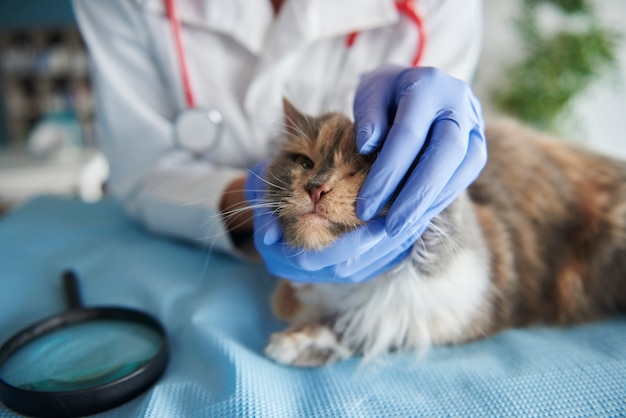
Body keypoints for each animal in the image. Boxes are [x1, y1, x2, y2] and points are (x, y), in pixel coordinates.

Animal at [255, 98, 624, 366]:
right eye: (305, 163)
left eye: (363, 169)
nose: (316, 188)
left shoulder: (464, 304)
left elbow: (366, 324)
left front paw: (292, 344)